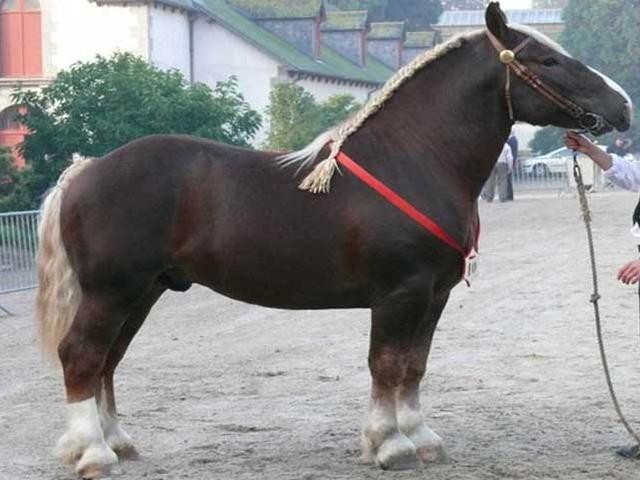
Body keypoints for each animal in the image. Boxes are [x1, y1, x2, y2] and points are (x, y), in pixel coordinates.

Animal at [36, 2, 631, 477]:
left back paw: (116, 443)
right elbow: (387, 364)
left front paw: (420, 438)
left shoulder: (433, 295)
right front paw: (390, 445)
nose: (623, 105)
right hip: (112, 291)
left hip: (143, 292)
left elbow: (414, 365)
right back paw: (93, 453)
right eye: (546, 60)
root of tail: (87, 168)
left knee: (107, 361)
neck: (413, 160)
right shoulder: (400, 293)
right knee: (82, 355)